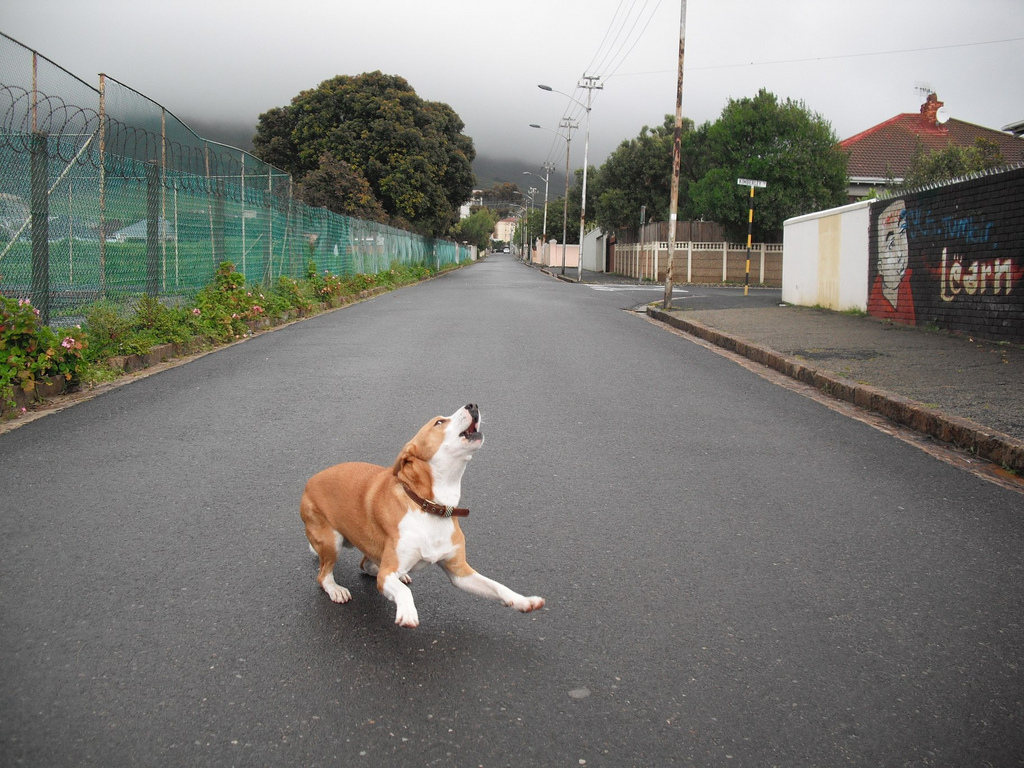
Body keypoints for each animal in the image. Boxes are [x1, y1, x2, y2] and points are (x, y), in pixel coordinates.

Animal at [299, 405, 544, 626]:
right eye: (439, 422)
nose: (472, 405)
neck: (431, 507)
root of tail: (308, 483)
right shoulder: (386, 575)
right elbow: (401, 592)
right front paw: (407, 612)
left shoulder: (460, 572)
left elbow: (496, 585)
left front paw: (523, 601)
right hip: (331, 541)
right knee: (324, 575)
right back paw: (336, 589)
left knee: (366, 564)